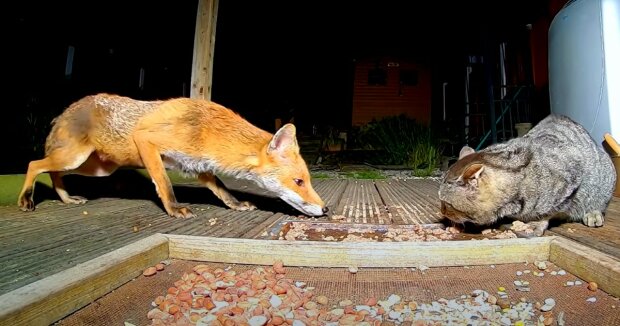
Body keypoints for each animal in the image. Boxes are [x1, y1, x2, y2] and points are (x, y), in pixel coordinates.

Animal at [17, 93, 326, 218]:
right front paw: (174, 208)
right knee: (34, 163)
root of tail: (67, 109)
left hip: (96, 168)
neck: (208, 129)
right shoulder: (147, 141)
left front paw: (236, 204)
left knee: (52, 172)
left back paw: (66, 198)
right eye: (299, 182)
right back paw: (27, 199)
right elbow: (163, 184)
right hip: (76, 158)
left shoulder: (199, 166)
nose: (325, 210)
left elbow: (222, 190)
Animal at [438, 113, 616, 236]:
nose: (442, 212)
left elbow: (550, 211)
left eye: (446, 204)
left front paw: (536, 222)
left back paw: (593, 212)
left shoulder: (571, 178)